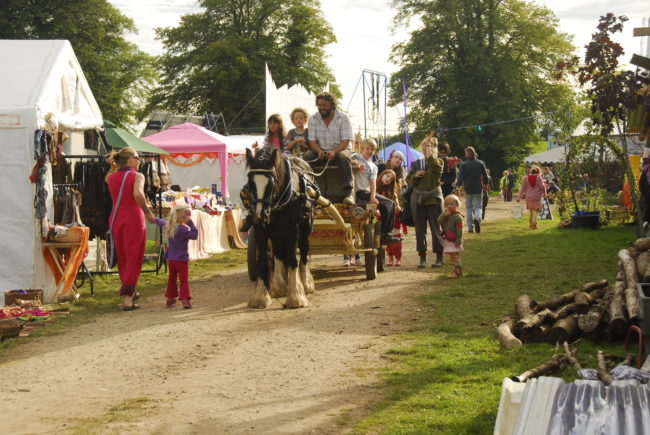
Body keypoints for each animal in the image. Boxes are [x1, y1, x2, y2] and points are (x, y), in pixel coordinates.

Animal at [242, 148, 316, 308]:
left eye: (271, 182)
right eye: (250, 182)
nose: (260, 214)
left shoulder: (293, 229)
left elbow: (293, 259)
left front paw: (296, 296)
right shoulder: (260, 229)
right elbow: (263, 262)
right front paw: (261, 296)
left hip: (305, 226)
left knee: (304, 251)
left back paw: (306, 282)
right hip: (276, 233)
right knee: (279, 254)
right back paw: (280, 286)